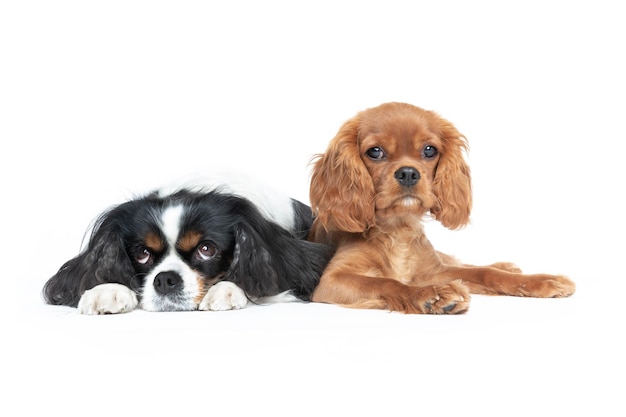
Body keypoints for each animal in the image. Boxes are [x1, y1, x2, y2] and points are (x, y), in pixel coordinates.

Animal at [304, 102, 572, 314]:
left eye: (429, 150)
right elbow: (387, 283)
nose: (408, 173)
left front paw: (540, 280)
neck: (397, 229)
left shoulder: (435, 270)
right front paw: (431, 295)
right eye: (375, 152)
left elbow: (484, 273)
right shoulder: (330, 281)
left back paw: (508, 266)